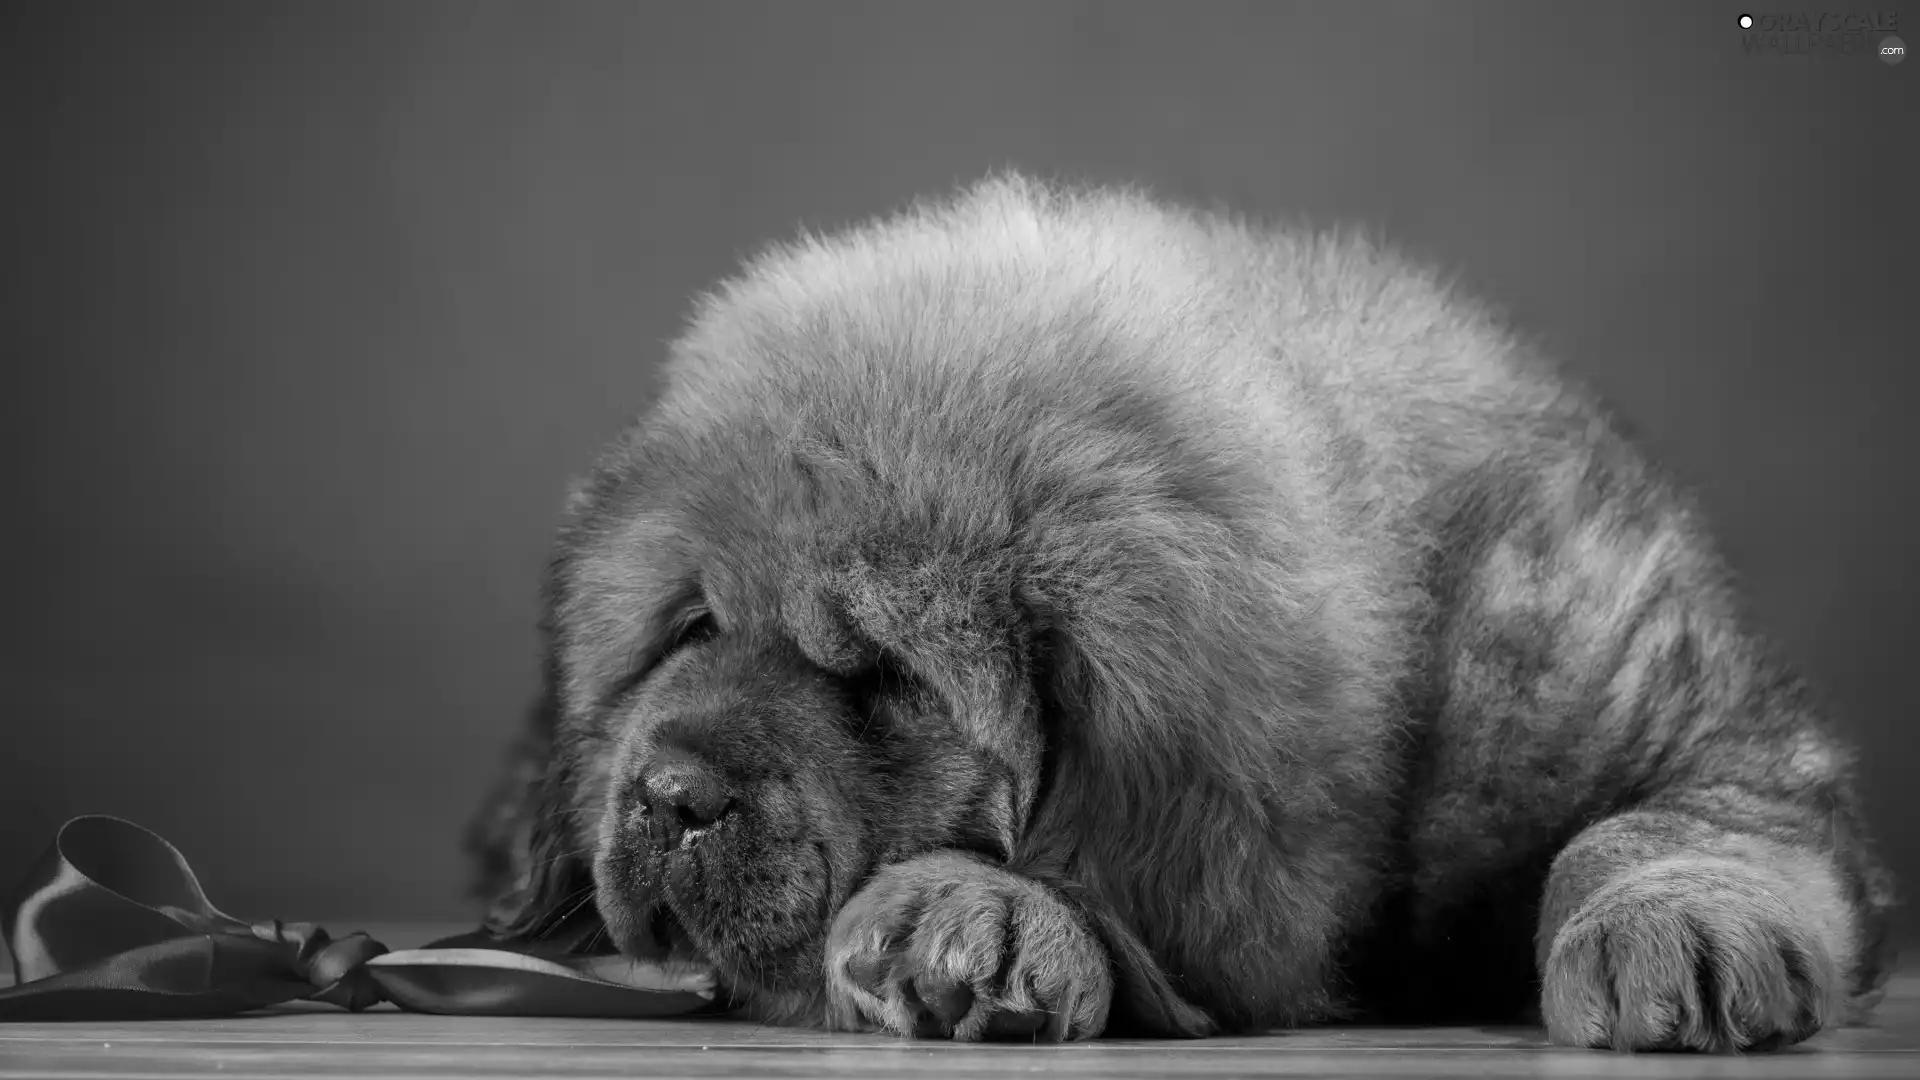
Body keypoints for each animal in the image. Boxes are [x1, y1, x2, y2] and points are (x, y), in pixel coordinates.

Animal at [456, 174, 1896, 1045]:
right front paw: (975, 920)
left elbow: (1651, 829)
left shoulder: (1695, 730)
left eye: (889, 680)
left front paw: (1679, 927)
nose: (671, 796)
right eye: (691, 630)